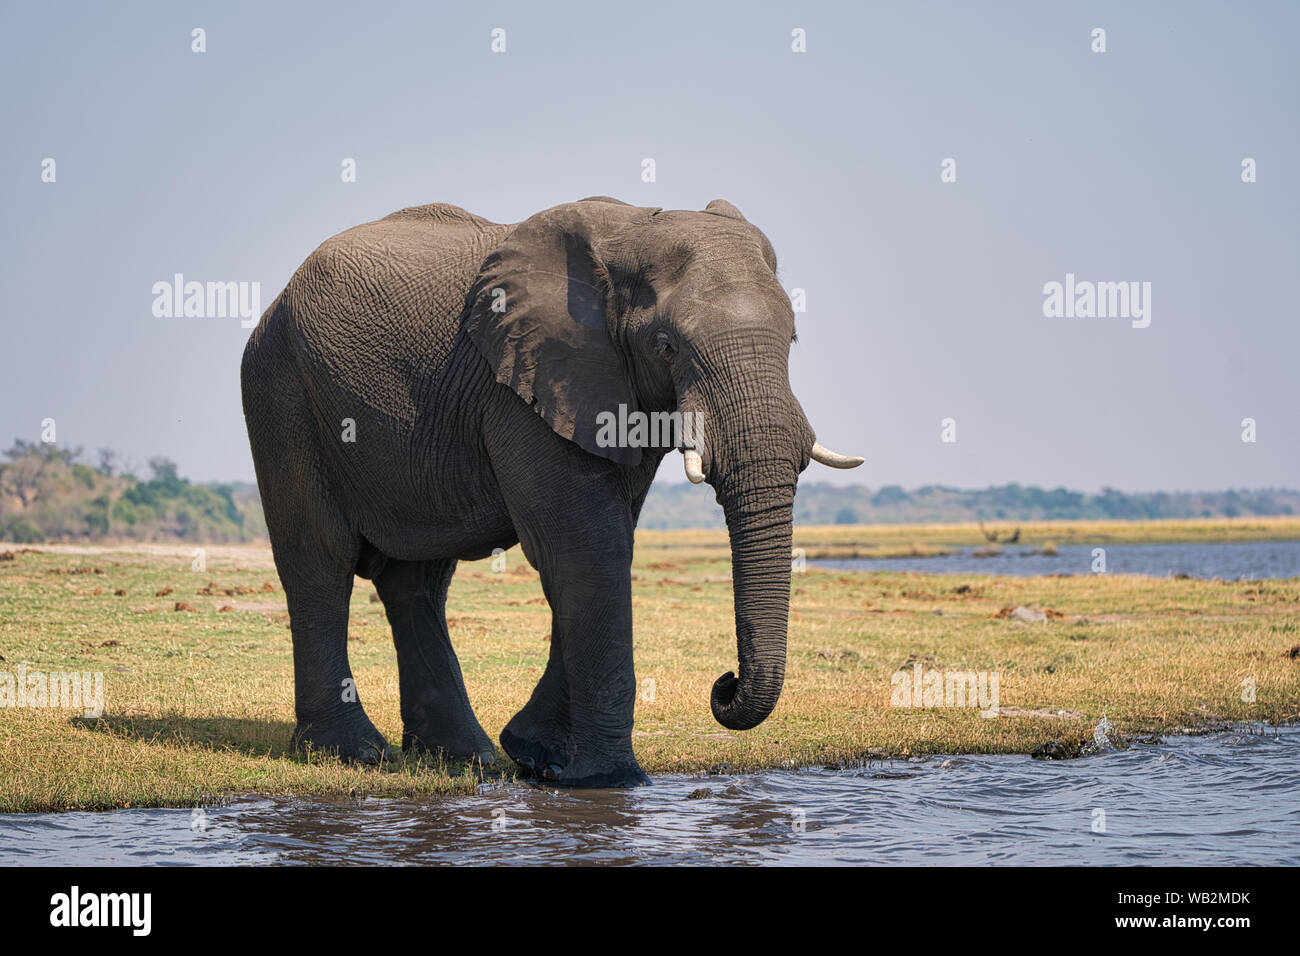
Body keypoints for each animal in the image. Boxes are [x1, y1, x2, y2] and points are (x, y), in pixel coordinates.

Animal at [240, 196, 862, 787]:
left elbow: (603, 547)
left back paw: (464, 758)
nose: (724, 683)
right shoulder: (529, 384)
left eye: (793, 337)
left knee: (417, 579)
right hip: (280, 390)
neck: (634, 229)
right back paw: (351, 754)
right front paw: (610, 780)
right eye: (665, 345)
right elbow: (586, 548)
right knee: (320, 558)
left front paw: (538, 758)